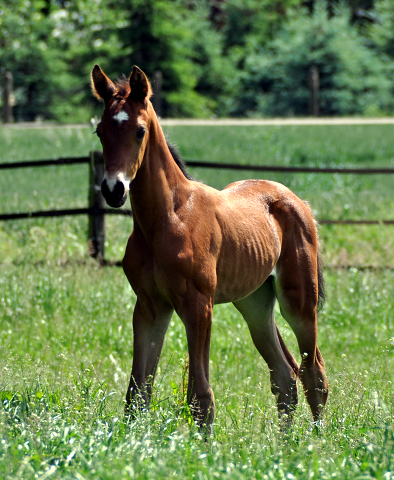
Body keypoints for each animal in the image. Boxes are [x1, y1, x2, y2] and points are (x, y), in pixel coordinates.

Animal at [91, 63, 328, 428]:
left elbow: (199, 396)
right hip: (255, 302)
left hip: (299, 300)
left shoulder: (198, 304)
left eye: (140, 131)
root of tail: (297, 201)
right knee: (285, 375)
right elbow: (138, 393)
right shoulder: (150, 306)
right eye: (100, 131)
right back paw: (286, 441)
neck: (165, 219)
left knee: (313, 372)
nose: (113, 189)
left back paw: (317, 439)